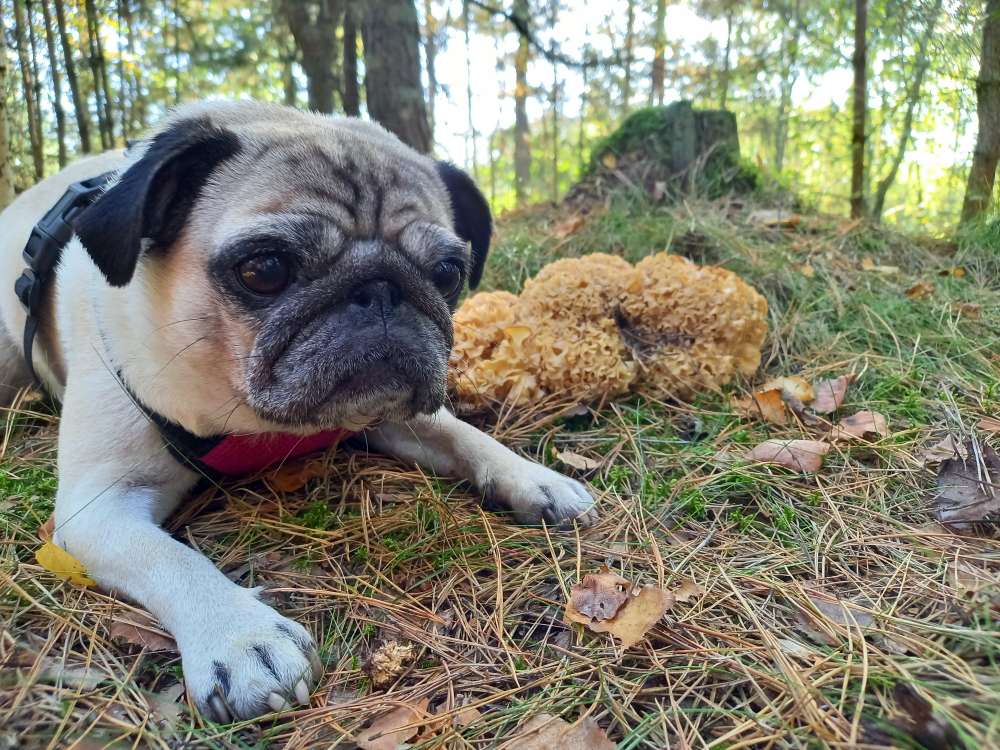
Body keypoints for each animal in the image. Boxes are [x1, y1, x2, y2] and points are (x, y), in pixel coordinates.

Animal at [0, 100, 592, 724]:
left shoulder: (392, 414)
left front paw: (534, 478)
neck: (259, 422)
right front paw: (241, 637)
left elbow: (462, 435)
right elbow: (168, 557)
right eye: (264, 270)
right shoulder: (98, 507)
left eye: (447, 274)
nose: (381, 290)